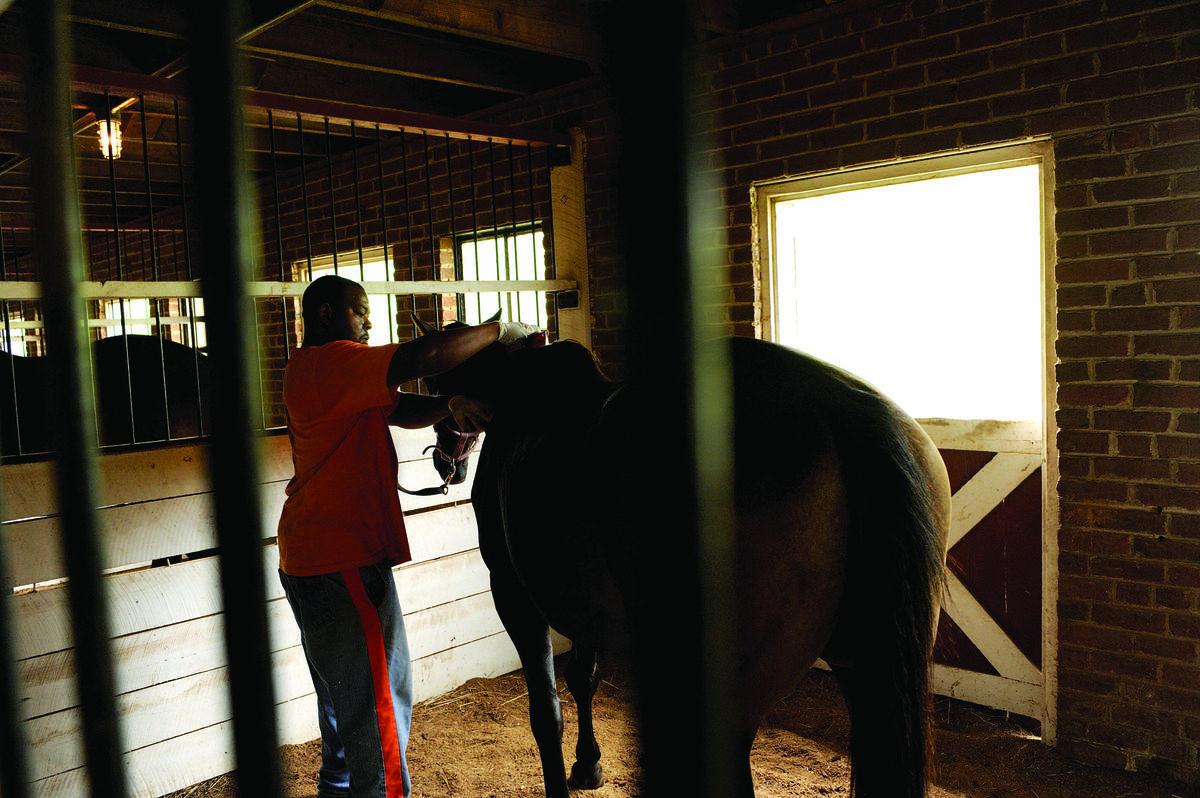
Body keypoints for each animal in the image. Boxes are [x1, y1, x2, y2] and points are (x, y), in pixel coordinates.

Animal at [415, 315, 951, 798]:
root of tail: (841, 413)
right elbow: (583, 678)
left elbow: (547, 713)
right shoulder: (582, 602)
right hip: (867, 674)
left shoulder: (514, 595)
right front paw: (589, 766)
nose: (443, 462)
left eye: (435, 383)